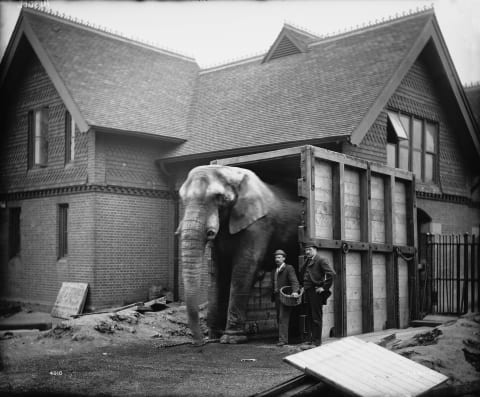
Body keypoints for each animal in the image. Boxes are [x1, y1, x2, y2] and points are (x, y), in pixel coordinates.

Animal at [176, 164, 304, 344]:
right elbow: (221, 270)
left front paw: (230, 339)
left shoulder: (259, 224)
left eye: (219, 197)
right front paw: (216, 337)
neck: (233, 174)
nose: (200, 343)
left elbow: (244, 267)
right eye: (182, 198)